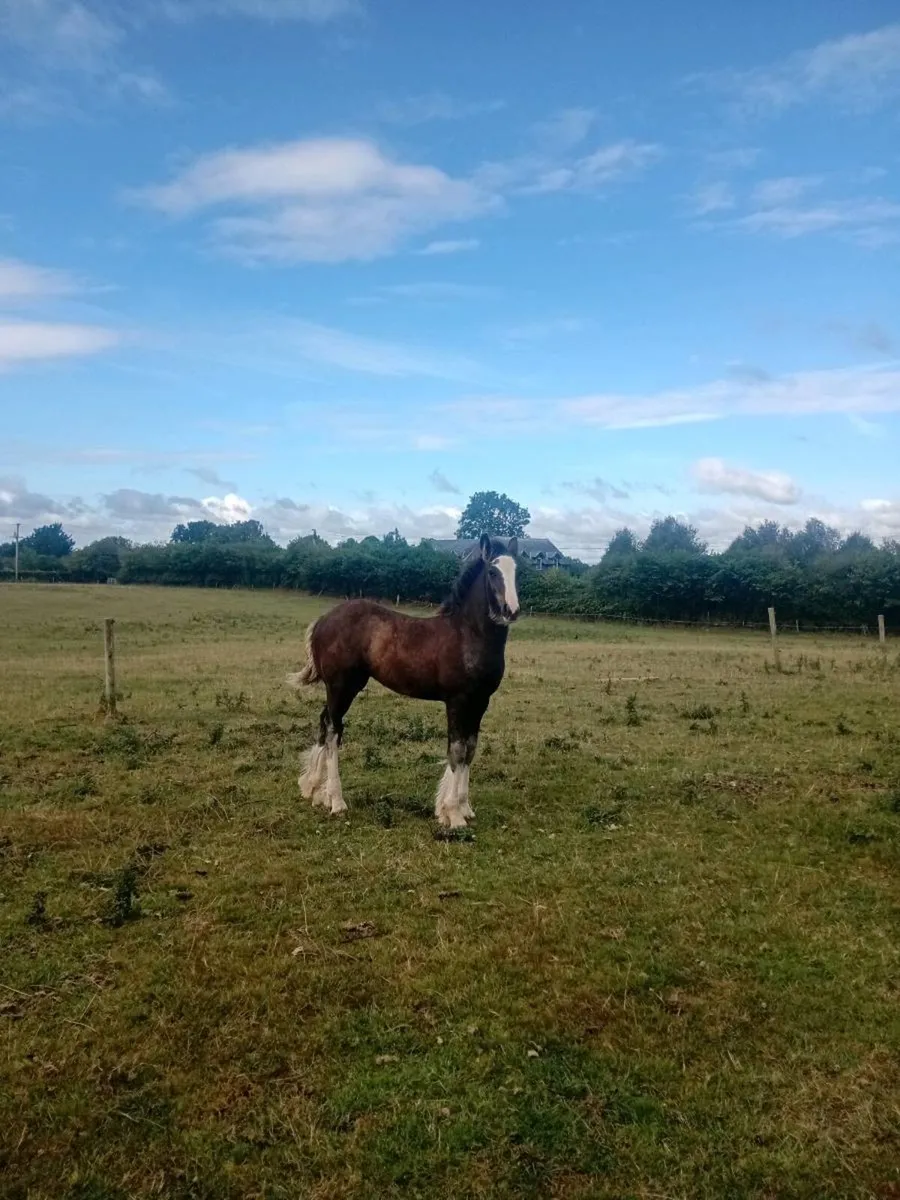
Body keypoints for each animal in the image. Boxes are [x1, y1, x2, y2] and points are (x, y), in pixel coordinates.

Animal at [286, 533, 520, 828]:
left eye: (517, 571)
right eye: (492, 572)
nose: (510, 610)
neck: (468, 635)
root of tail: (322, 621)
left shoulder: (480, 702)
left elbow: (470, 748)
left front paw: (464, 808)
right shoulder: (457, 701)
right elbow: (456, 750)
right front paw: (452, 814)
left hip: (342, 688)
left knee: (324, 721)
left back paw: (314, 790)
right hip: (342, 687)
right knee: (332, 731)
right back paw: (337, 801)